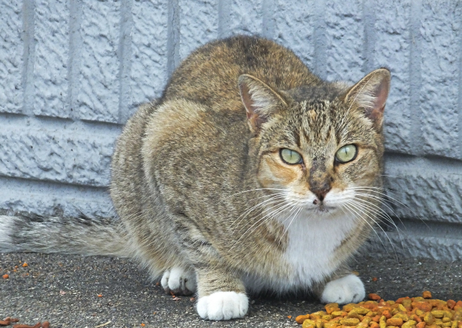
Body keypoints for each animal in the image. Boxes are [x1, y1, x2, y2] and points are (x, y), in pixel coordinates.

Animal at [0, 35, 390, 320]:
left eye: (346, 153)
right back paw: (179, 271)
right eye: (290, 156)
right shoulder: (170, 141)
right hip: (139, 138)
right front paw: (221, 291)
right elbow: (199, 243)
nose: (320, 188)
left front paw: (334, 275)